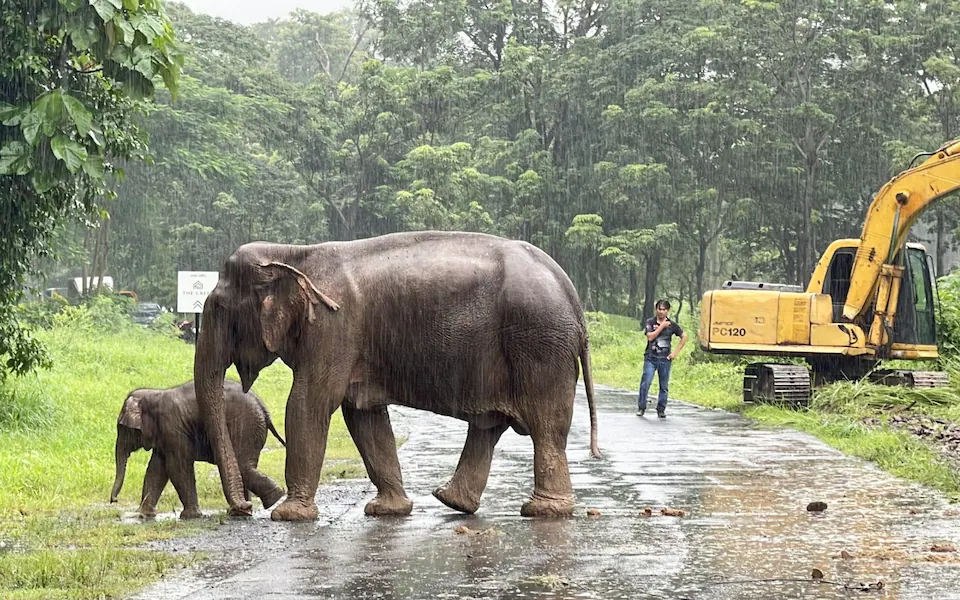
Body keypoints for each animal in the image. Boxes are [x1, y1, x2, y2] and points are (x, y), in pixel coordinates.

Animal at [109, 382, 284, 516]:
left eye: (122, 428)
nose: (114, 501)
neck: (153, 394)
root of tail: (263, 407)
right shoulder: (164, 435)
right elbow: (156, 470)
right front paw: (144, 515)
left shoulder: (172, 428)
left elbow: (177, 467)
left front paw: (190, 516)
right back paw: (243, 510)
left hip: (246, 427)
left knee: (242, 465)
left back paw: (274, 498)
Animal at [195, 230, 600, 520]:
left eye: (219, 310)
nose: (243, 510)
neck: (293, 253)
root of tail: (573, 299)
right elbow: (364, 417)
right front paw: (386, 511)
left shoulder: (333, 327)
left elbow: (309, 403)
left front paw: (289, 516)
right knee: (490, 425)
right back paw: (453, 501)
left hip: (538, 344)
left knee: (546, 426)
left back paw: (543, 511)